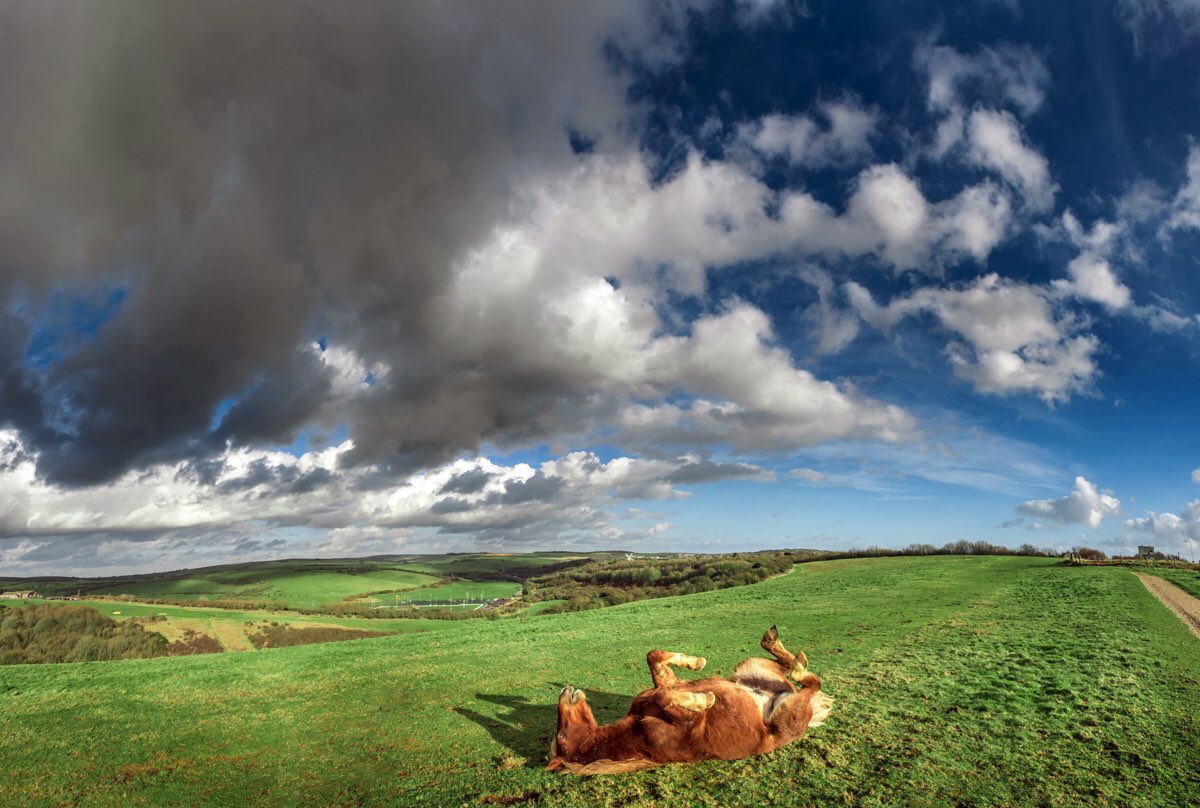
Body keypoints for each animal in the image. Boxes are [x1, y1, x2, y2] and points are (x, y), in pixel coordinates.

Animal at [546, 625, 832, 774]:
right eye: (560, 736)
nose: (565, 691)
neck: (635, 729)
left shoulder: (669, 683)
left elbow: (654, 658)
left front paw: (695, 662)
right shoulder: (683, 723)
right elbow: (665, 695)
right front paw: (704, 699)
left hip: (750, 667)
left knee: (788, 667)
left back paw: (778, 645)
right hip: (787, 714)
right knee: (810, 683)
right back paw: (798, 665)